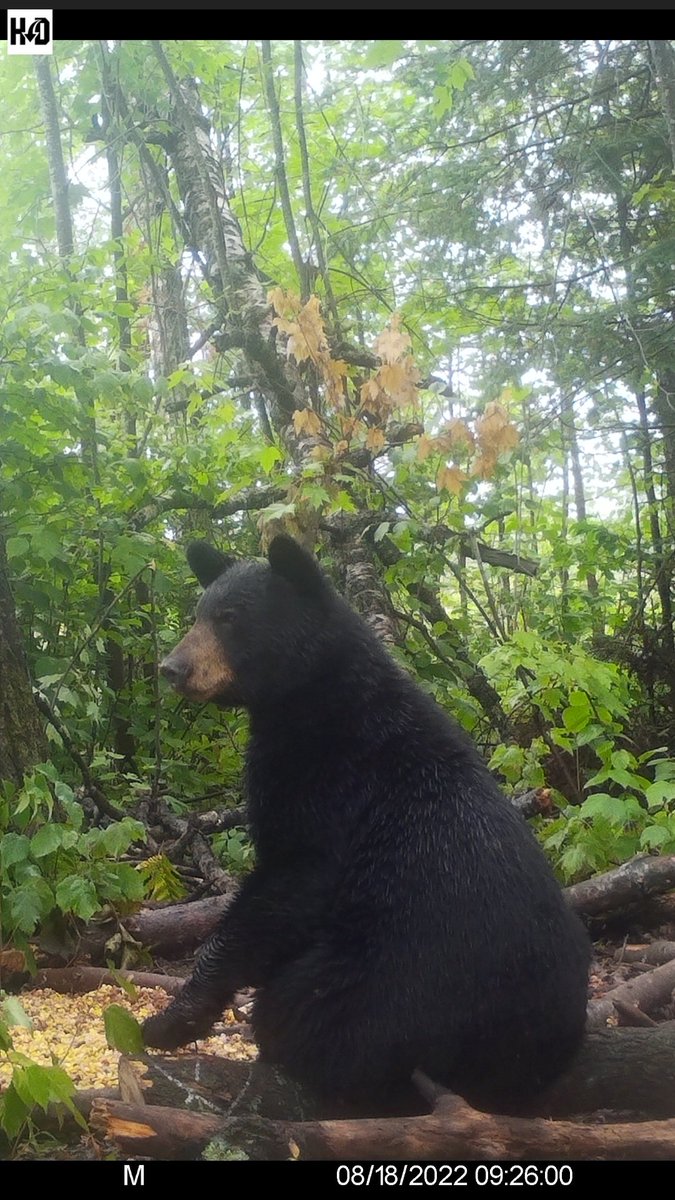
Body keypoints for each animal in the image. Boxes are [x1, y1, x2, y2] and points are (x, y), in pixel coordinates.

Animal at [143, 535, 590, 1115]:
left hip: (383, 983)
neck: (311, 694)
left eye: (230, 617)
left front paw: (169, 1021)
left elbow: (288, 882)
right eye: (200, 613)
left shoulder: (330, 786)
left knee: (312, 1015)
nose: (170, 667)